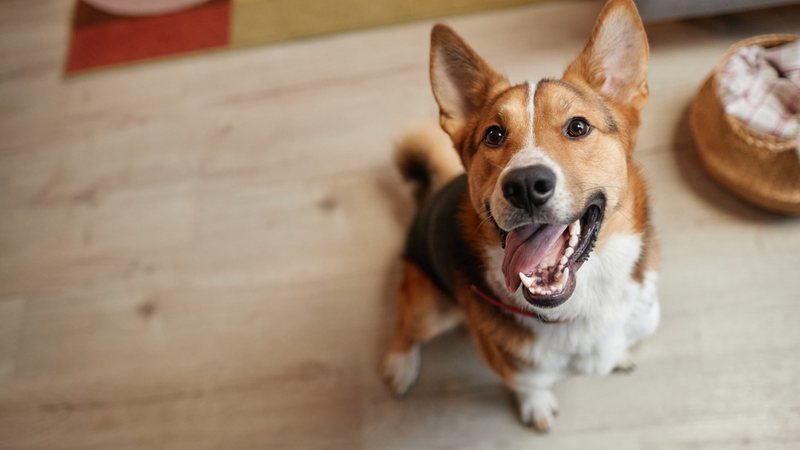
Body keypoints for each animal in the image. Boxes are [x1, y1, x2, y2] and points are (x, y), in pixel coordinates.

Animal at [384, 0, 660, 430]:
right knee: (405, 327)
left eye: (578, 126)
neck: (578, 309)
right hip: (431, 306)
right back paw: (400, 364)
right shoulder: (514, 367)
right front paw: (537, 405)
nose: (526, 185)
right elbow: (530, 385)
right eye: (493, 135)